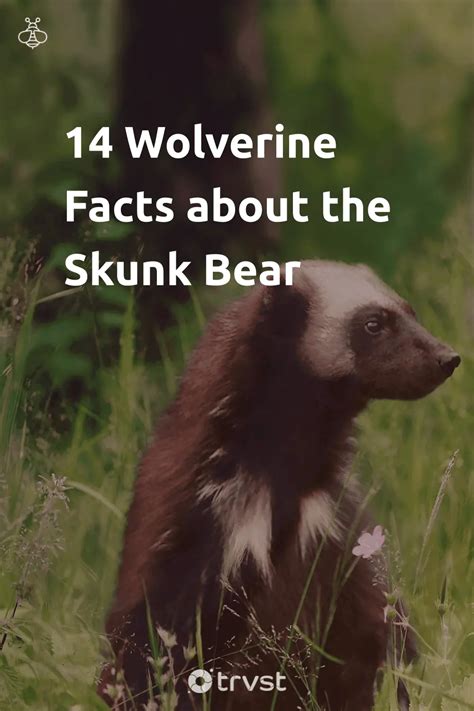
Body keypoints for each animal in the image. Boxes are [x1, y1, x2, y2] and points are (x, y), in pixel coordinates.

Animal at [98, 260, 460, 711]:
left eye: (410, 311)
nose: (448, 356)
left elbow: (378, 651)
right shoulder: (185, 545)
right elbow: (150, 657)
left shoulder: (343, 544)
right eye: (373, 323)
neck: (283, 479)